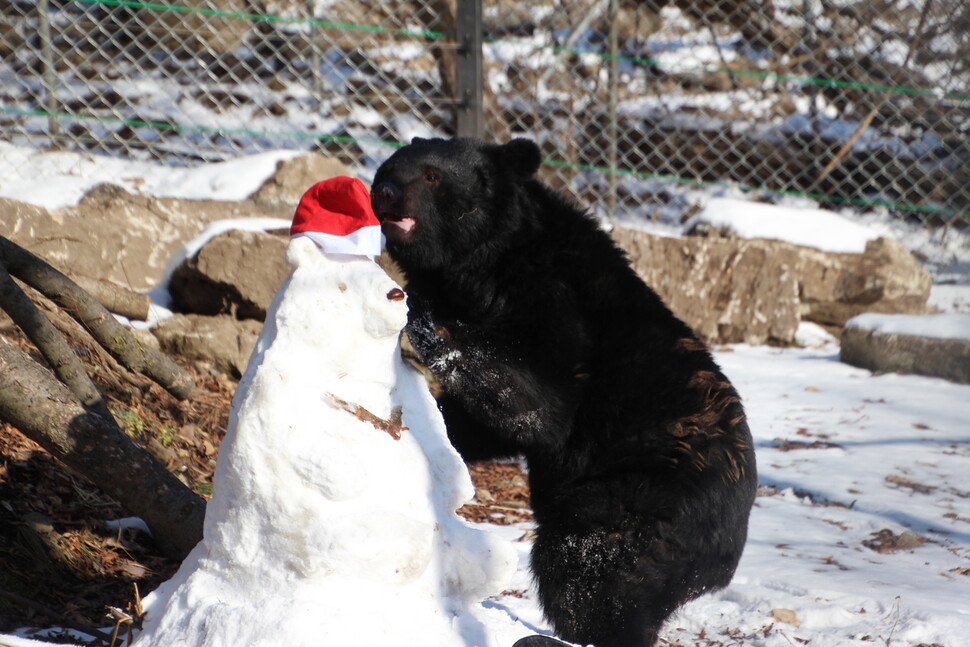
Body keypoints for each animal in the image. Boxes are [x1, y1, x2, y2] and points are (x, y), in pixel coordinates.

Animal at [370, 138, 756, 647]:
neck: (484, 263)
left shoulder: (556, 300)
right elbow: (494, 425)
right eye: (389, 166)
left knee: (584, 568)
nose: (387, 192)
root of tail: (729, 551)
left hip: (641, 500)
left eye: (432, 177)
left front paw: (422, 324)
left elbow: (544, 400)